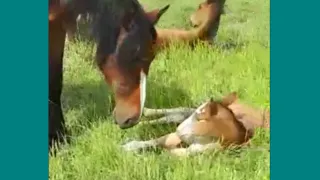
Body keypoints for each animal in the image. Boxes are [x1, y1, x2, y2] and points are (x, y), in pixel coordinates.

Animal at [122, 92, 270, 155]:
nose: (179, 131)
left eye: (199, 118)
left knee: (176, 115)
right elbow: (158, 140)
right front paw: (127, 146)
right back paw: (144, 114)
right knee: (180, 111)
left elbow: (172, 152)